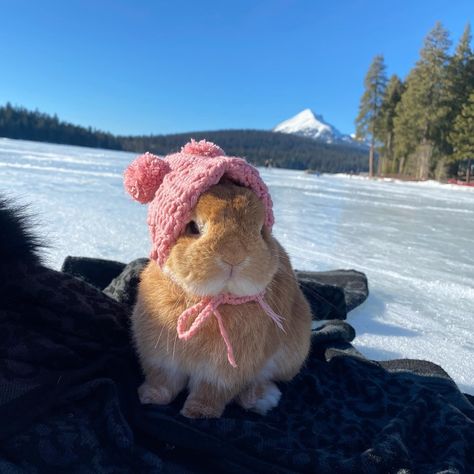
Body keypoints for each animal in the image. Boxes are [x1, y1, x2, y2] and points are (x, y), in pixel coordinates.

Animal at [124, 140, 312, 418]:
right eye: (192, 227)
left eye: (260, 231)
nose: (234, 255)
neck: (209, 300)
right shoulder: (160, 358)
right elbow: (163, 381)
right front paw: (149, 397)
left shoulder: (223, 373)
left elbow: (211, 391)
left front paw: (197, 413)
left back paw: (260, 399)